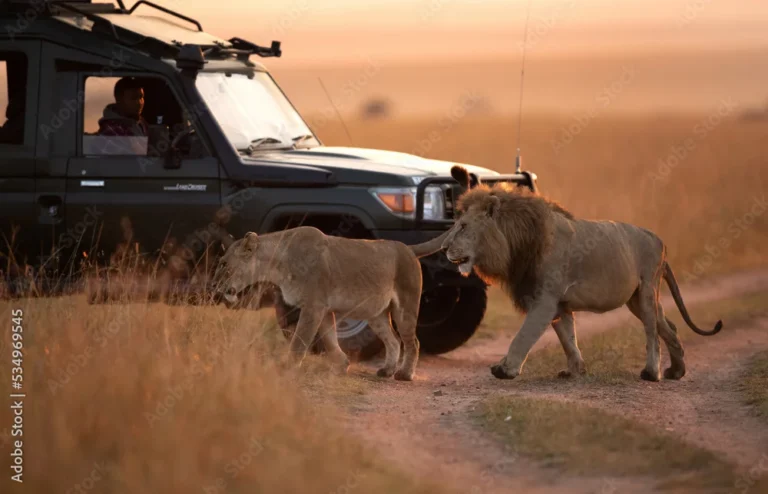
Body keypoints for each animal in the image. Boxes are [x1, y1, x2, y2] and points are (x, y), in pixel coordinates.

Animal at [212, 222, 454, 381]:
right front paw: (341, 366)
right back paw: (386, 371)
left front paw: (287, 367)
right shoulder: (323, 309)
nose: (214, 286)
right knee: (393, 340)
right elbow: (329, 339)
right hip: (375, 314)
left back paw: (404, 374)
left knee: (413, 342)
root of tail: (408, 248)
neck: (276, 265)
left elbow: (300, 341)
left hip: (405, 306)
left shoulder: (314, 306)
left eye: (224, 264)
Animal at [441, 168, 723, 382]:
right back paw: (676, 371)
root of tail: (661, 242)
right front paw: (575, 370)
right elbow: (568, 337)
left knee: (652, 331)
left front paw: (505, 369)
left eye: (463, 227)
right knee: (668, 326)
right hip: (636, 299)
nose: (443, 247)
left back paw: (652, 373)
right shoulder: (559, 304)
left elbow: (523, 336)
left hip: (646, 289)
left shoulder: (545, 301)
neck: (515, 242)